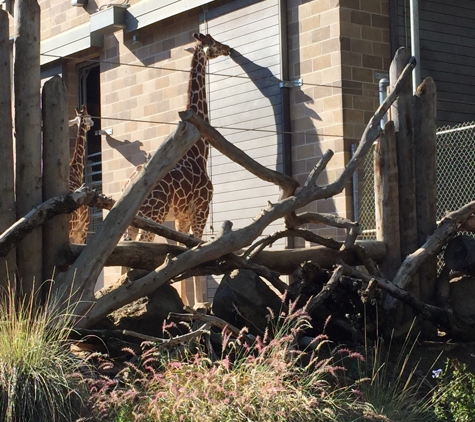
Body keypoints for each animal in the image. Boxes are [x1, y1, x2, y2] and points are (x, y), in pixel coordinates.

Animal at [125, 33, 231, 304]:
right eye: (214, 42)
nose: (228, 48)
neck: (199, 151)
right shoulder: (201, 209)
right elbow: (196, 251)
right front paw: (201, 303)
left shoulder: (180, 217)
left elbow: (181, 253)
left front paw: (187, 302)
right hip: (153, 215)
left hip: (136, 220)